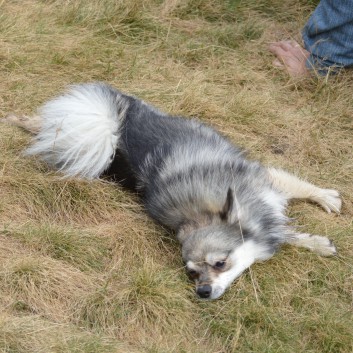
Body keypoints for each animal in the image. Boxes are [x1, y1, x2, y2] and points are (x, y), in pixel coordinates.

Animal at [4, 83, 340, 300]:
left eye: (220, 263)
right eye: (191, 273)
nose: (202, 292)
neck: (200, 209)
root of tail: (113, 126)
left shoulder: (266, 183)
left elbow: (296, 197)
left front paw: (323, 202)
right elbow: (283, 232)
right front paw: (314, 241)